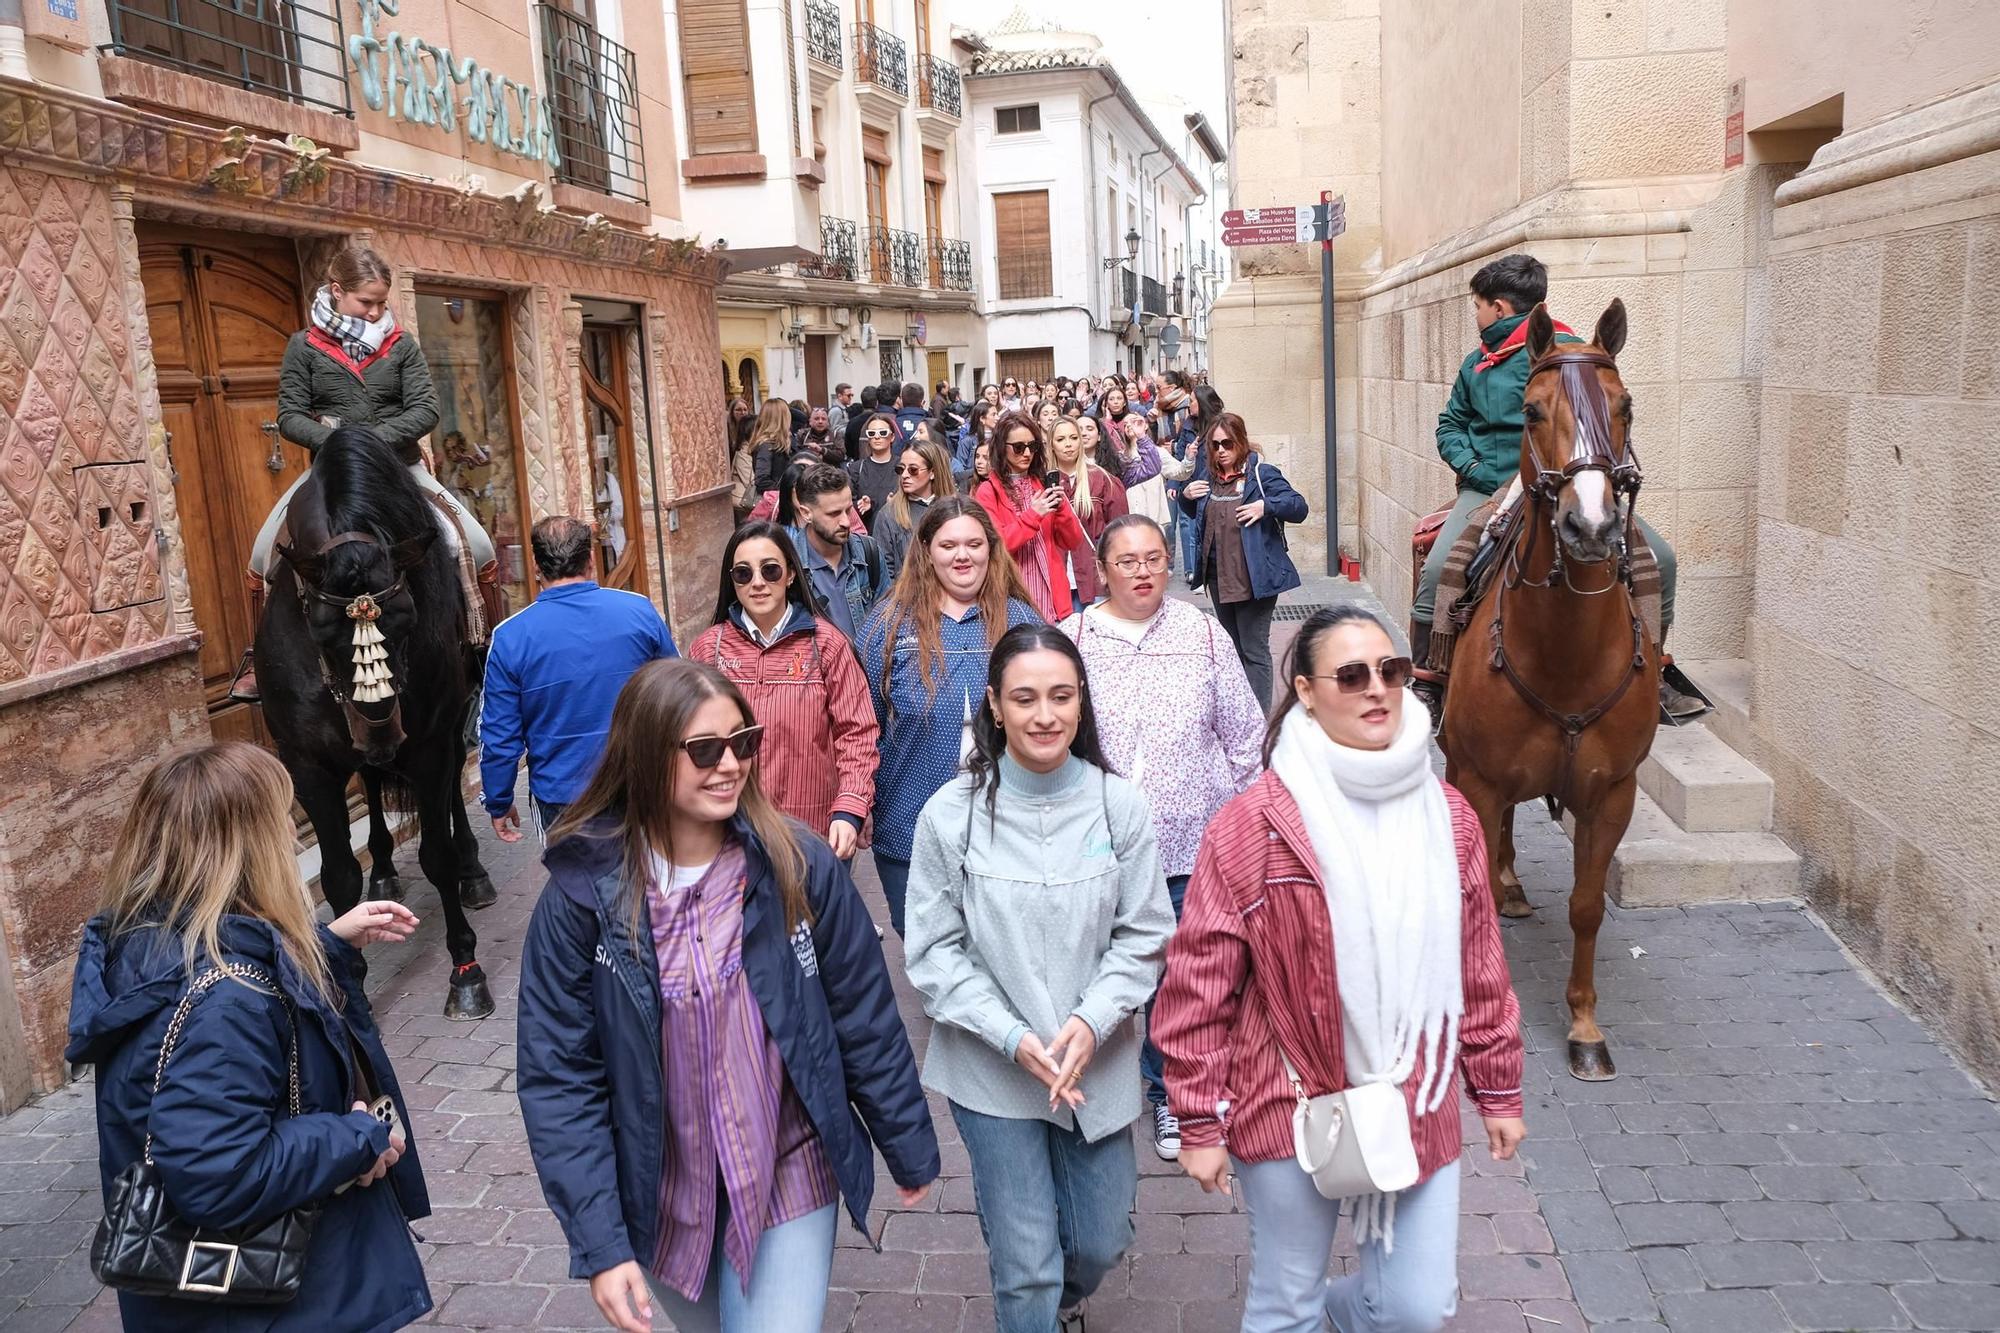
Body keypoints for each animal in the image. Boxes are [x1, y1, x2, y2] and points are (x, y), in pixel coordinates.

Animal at [258, 426, 500, 1016]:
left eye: (407, 617)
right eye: (322, 629)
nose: (379, 727)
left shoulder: (431, 744)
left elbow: (436, 854)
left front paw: (465, 971)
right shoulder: (307, 763)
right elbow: (339, 876)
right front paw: (349, 985)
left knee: (452, 792)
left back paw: (473, 873)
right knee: (369, 782)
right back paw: (386, 874)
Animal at [1440, 298, 1656, 1080]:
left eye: (1626, 405)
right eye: (1532, 411)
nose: (1589, 526)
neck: (1565, 652)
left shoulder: (1613, 793)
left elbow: (1588, 906)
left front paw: (1586, 1027)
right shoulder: (1476, 775)